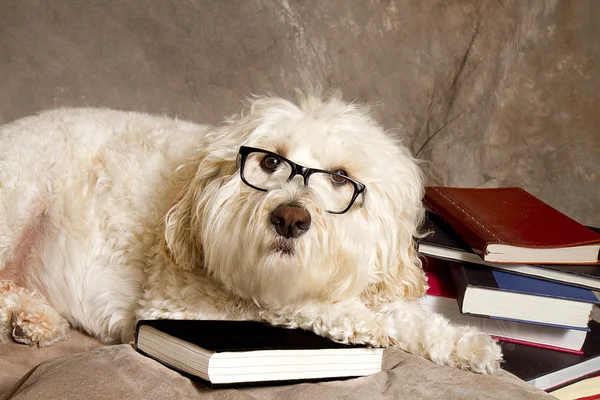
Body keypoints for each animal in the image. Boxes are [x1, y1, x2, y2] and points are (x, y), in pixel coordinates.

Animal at [0, 92, 502, 374]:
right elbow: (292, 308)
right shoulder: (180, 304)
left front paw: (466, 344)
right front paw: (368, 325)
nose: (290, 219)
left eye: (341, 178)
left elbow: (413, 317)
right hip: (17, 198)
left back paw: (34, 317)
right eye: (270, 161)